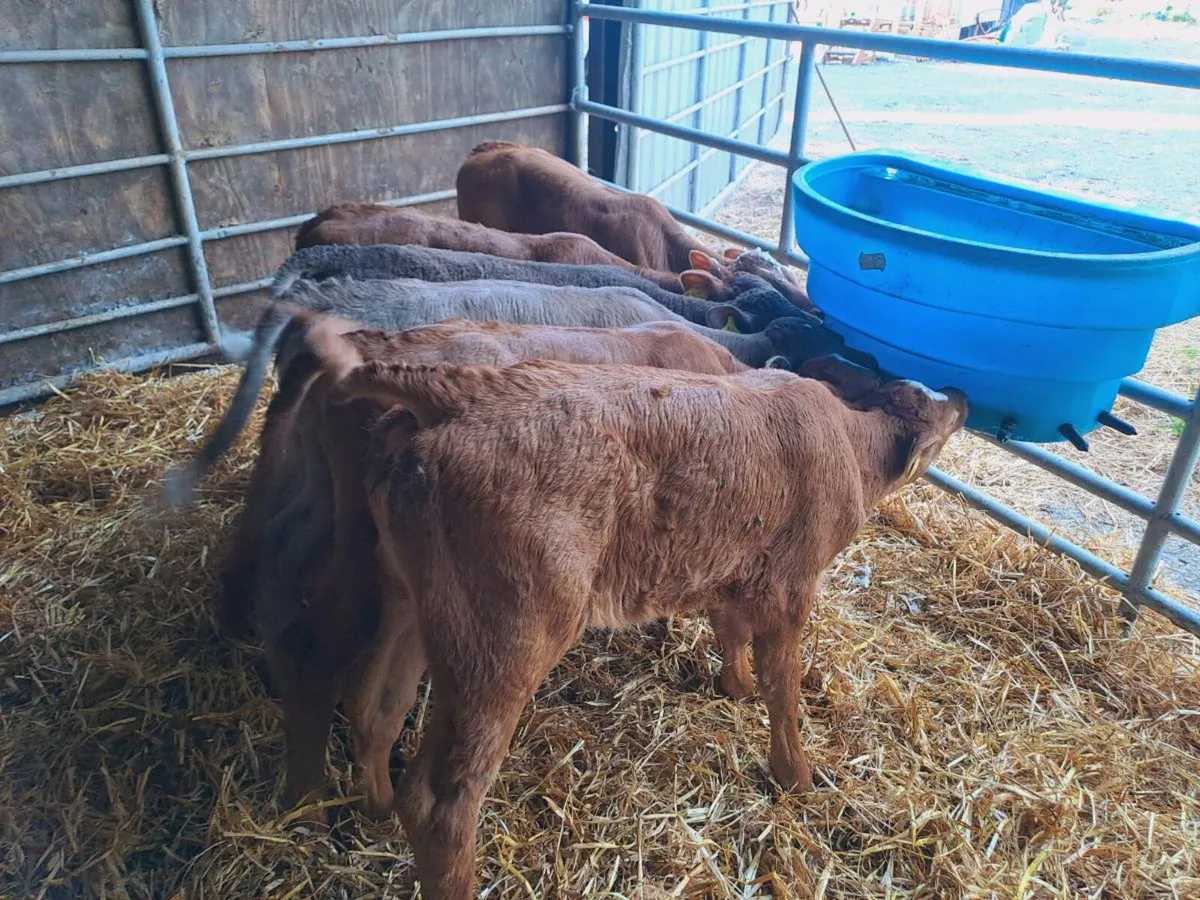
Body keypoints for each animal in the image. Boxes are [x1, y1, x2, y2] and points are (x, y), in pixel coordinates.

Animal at [331, 357, 967, 898]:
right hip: (507, 636)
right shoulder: (791, 584)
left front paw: (733, 688)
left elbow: (730, 632)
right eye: (937, 414)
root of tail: (458, 392)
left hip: (408, 592)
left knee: (373, 704)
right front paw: (797, 778)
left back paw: (375, 806)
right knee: (441, 803)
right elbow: (783, 687)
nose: (960, 394)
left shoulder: (732, 569)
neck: (851, 444)